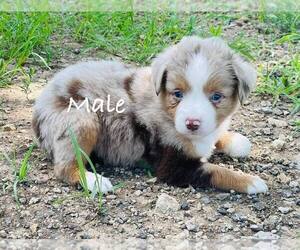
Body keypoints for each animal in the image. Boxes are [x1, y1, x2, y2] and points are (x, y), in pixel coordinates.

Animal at [32, 36, 268, 194]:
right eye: (177, 94)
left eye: (216, 97)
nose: (192, 123)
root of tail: (42, 98)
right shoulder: (173, 165)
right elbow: (215, 171)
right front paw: (251, 182)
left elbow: (225, 140)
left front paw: (238, 142)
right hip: (81, 118)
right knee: (65, 166)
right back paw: (95, 181)